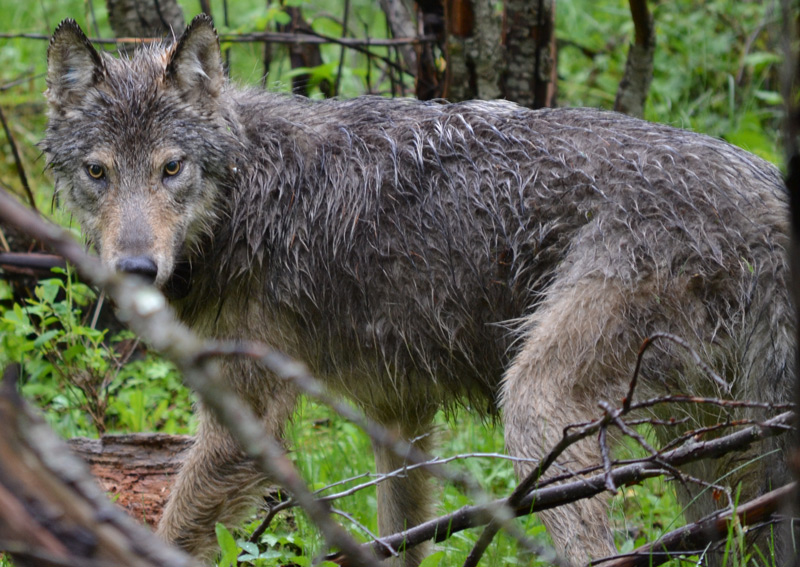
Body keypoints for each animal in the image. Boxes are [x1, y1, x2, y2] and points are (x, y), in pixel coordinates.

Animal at [40, 14, 792, 567]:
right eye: (98, 172)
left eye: (172, 169)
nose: (136, 268)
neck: (251, 196)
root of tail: (765, 191)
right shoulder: (398, 414)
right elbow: (397, 535)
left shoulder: (243, 420)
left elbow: (167, 531)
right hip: (713, 450)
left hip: (539, 406)